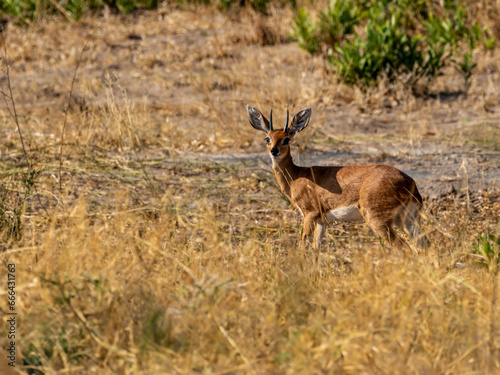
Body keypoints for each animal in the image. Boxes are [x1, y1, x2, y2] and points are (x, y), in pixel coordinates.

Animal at [245, 105, 422, 250]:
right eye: (267, 138)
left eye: (287, 138)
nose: (274, 151)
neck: (297, 177)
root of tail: (408, 183)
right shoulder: (321, 221)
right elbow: (316, 249)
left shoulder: (310, 215)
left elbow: (303, 245)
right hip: (407, 221)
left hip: (378, 220)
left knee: (404, 248)